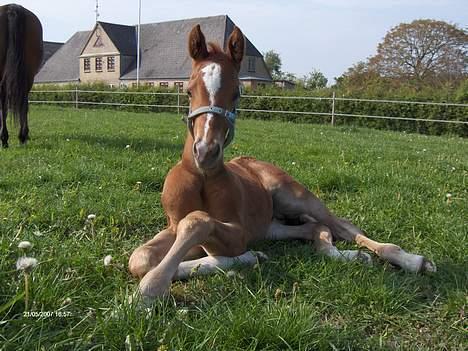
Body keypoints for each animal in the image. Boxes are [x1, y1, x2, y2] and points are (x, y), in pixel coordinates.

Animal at [128, 24, 436, 300]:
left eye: (237, 92)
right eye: (189, 90)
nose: (205, 152)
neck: (202, 178)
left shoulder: (237, 231)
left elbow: (198, 222)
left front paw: (151, 289)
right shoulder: (172, 226)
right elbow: (140, 258)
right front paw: (246, 259)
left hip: (294, 197)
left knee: (343, 226)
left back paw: (412, 261)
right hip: (272, 226)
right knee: (316, 229)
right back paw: (351, 257)